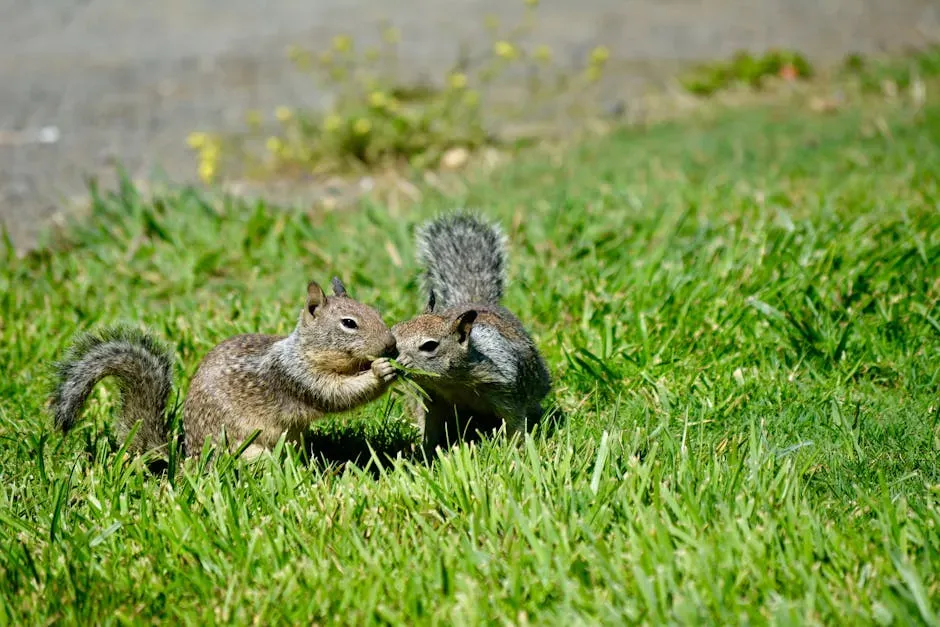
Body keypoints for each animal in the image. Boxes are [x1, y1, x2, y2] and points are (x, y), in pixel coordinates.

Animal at [51, 277, 398, 459]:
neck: (303, 350)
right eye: (349, 323)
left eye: (375, 310)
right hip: (247, 449)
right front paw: (381, 372)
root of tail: (188, 461)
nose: (391, 346)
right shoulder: (297, 377)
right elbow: (338, 394)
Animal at [392, 211, 551, 455]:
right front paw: (423, 452)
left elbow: (514, 424)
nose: (397, 362)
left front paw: (514, 452)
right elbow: (430, 428)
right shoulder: (432, 400)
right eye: (394, 332)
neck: (451, 382)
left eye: (430, 345)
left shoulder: (508, 391)